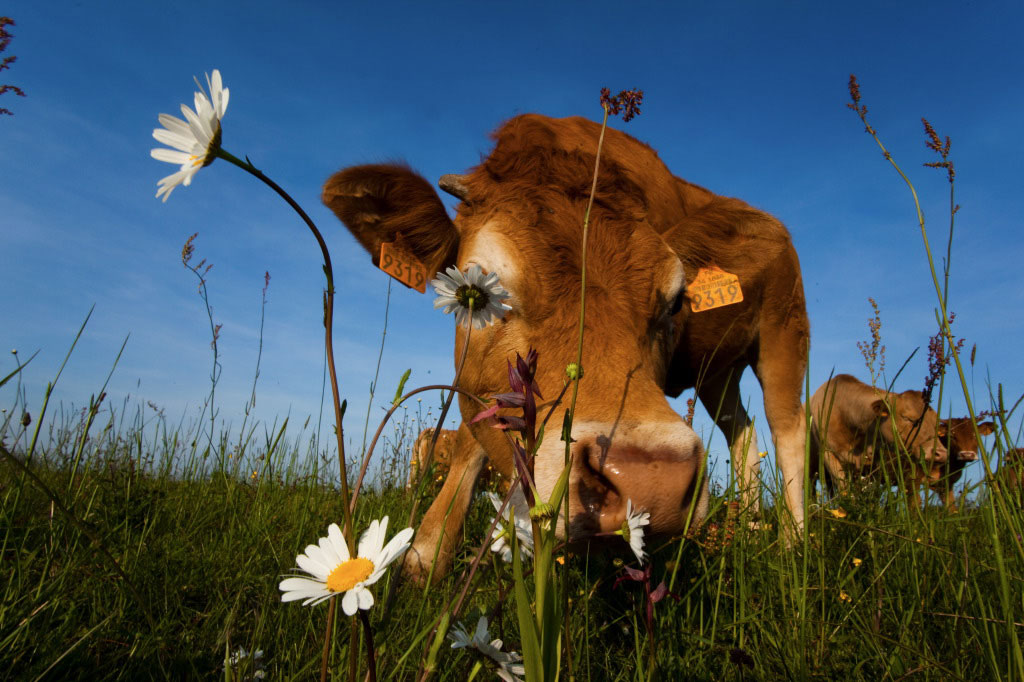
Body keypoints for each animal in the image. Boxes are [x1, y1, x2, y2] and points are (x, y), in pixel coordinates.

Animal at [323, 112, 811, 577]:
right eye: (475, 293)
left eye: (675, 302)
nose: (652, 482)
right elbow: (469, 437)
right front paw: (427, 552)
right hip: (718, 374)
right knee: (742, 434)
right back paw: (746, 533)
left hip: (785, 335)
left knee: (788, 432)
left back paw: (794, 547)